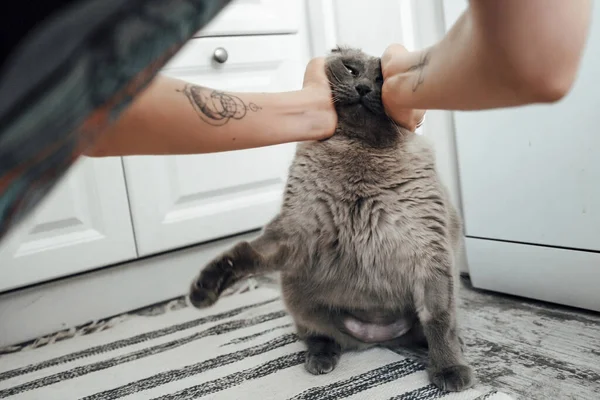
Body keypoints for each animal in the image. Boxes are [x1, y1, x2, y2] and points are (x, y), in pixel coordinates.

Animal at [190, 46, 476, 390]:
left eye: (382, 78)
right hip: (297, 294)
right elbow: (242, 253)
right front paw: (203, 291)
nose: (363, 88)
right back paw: (320, 360)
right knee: (320, 336)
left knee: (430, 330)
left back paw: (452, 350)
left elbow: (439, 321)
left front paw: (449, 371)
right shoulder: (298, 230)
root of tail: (376, 339)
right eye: (352, 70)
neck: (360, 151)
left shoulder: (427, 253)